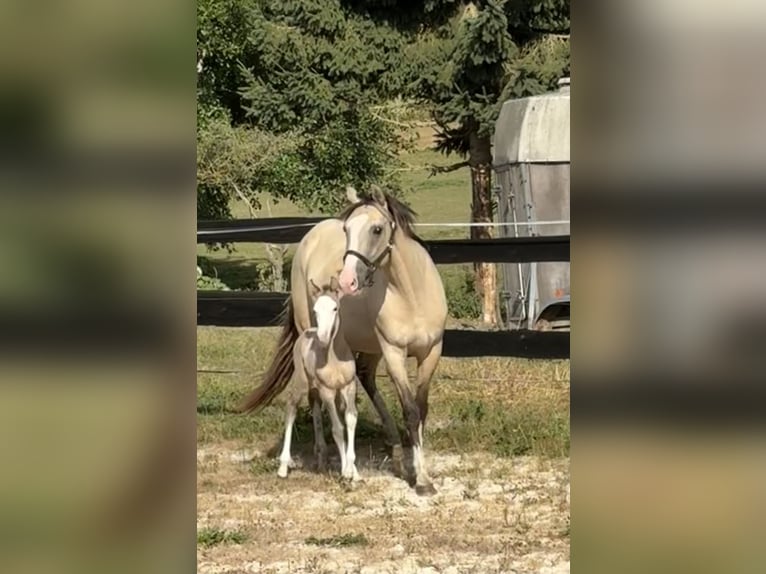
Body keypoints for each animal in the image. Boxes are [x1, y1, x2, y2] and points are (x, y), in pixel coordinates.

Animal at [276, 277, 360, 482]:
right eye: (315, 310)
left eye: (335, 308)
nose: (322, 338)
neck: (335, 358)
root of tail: (307, 332)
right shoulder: (327, 391)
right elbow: (337, 429)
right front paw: (346, 471)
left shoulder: (348, 387)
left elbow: (350, 420)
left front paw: (353, 471)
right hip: (301, 382)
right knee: (291, 409)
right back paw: (283, 466)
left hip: (323, 391)